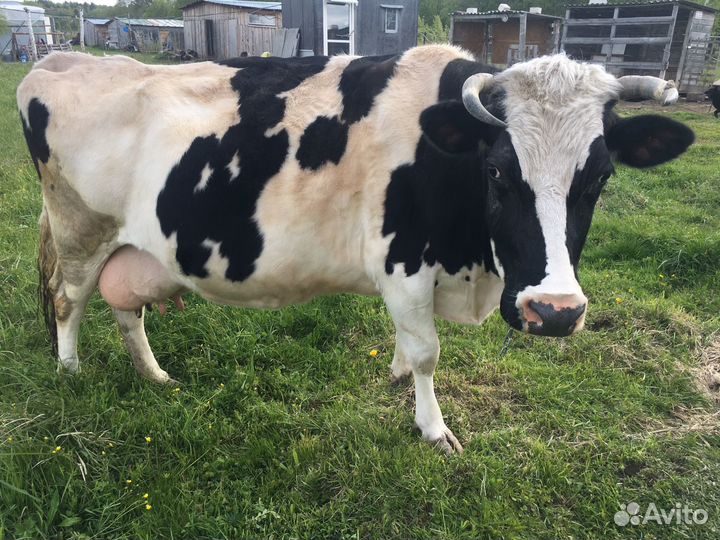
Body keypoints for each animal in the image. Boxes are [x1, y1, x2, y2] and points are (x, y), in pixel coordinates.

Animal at [17, 47, 693, 454]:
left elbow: (407, 345)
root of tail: (60, 60)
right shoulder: (404, 262)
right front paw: (433, 428)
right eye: (499, 171)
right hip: (80, 232)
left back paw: (154, 376)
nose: (552, 311)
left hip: (132, 248)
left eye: (600, 178)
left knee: (125, 309)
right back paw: (71, 372)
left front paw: (394, 376)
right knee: (68, 303)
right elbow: (427, 352)